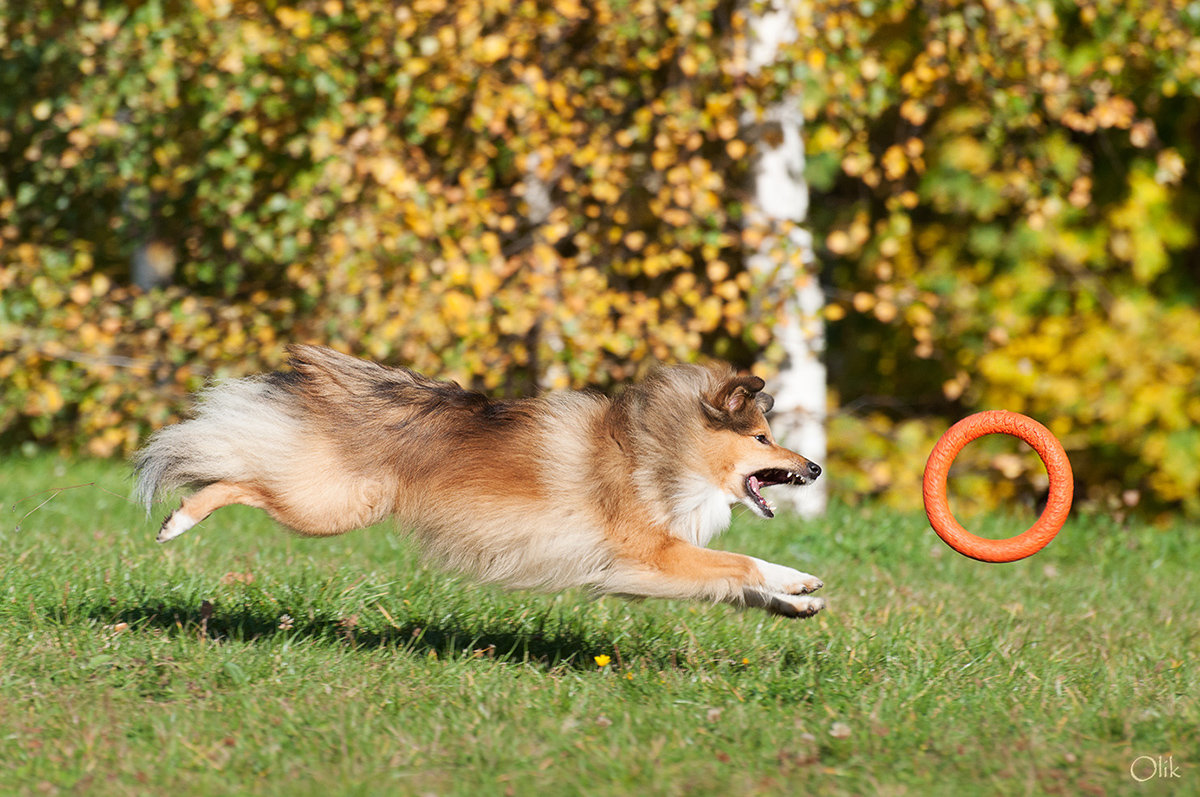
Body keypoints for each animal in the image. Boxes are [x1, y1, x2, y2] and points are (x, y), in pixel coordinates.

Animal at [133, 348, 825, 614]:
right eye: (763, 439)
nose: (815, 467)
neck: (663, 447)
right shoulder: (652, 554)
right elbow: (742, 563)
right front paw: (798, 580)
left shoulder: (651, 567)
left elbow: (736, 581)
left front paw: (797, 604)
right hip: (329, 505)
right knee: (239, 475)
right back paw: (177, 519)